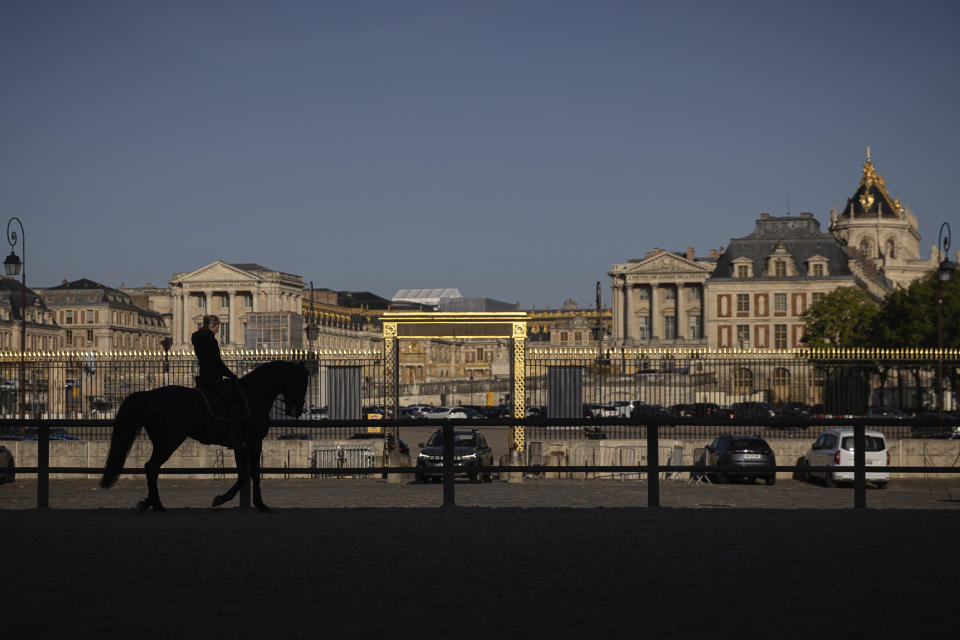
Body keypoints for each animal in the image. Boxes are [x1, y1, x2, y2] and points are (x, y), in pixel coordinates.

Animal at [100, 362, 308, 512]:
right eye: (302, 382)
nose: (297, 411)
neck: (254, 395)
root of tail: (150, 394)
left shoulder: (241, 445)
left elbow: (243, 474)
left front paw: (222, 499)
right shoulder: (255, 442)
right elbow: (254, 473)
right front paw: (261, 505)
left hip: (162, 442)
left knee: (151, 467)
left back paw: (147, 502)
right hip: (169, 441)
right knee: (151, 467)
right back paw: (157, 505)